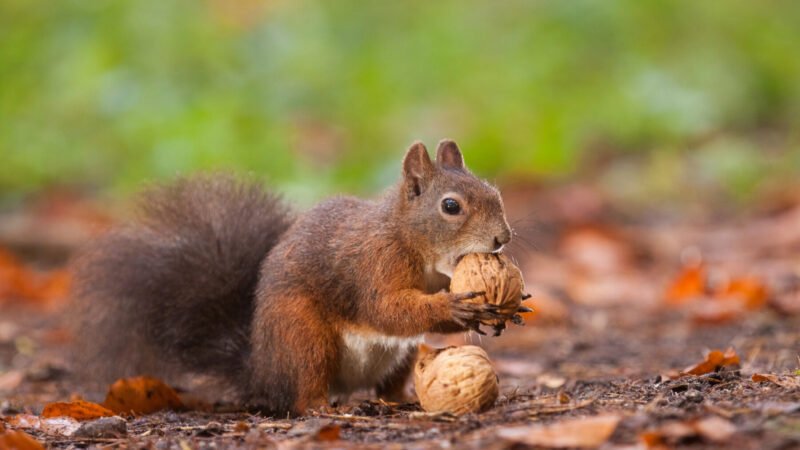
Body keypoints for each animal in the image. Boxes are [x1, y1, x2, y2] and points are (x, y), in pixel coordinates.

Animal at [73, 140, 512, 414]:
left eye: (495, 193)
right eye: (451, 206)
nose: (502, 238)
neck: (411, 241)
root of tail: (262, 370)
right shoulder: (374, 264)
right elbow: (385, 309)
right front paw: (454, 308)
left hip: (398, 356)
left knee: (388, 383)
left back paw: (402, 397)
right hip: (302, 337)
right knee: (303, 391)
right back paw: (321, 408)